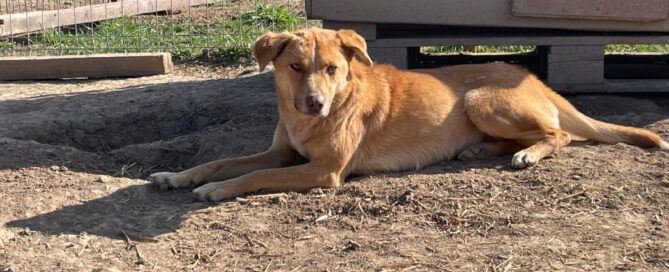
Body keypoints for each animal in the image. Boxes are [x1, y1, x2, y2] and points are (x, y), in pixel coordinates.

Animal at [149, 28, 664, 202]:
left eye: (332, 69)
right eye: (295, 68)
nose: (315, 103)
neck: (309, 120)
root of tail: (529, 73)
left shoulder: (324, 171)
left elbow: (251, 177)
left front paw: (216, 190)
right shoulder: (282, 154)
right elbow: (221, 161)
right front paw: (178, 176)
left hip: (481, 100)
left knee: (559, 135)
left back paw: (528, 155)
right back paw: (478, 150)